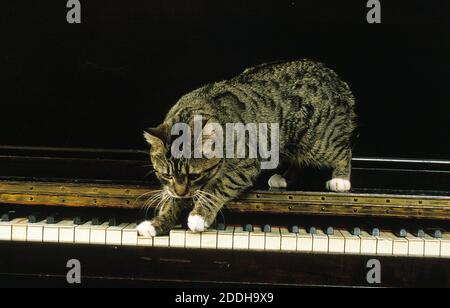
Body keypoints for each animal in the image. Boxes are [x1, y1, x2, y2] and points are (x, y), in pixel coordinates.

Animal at [139, 59, 356, 236]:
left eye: (194, 176)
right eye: (166, 175)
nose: (180, 192)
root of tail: (332, 77)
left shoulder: (244, 166)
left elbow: (217, 187)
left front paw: (198, 216)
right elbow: (170, 202)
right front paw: (156, 223)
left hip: (315, 140)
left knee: (343, 150)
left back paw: (340, 179)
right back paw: (283, 177)